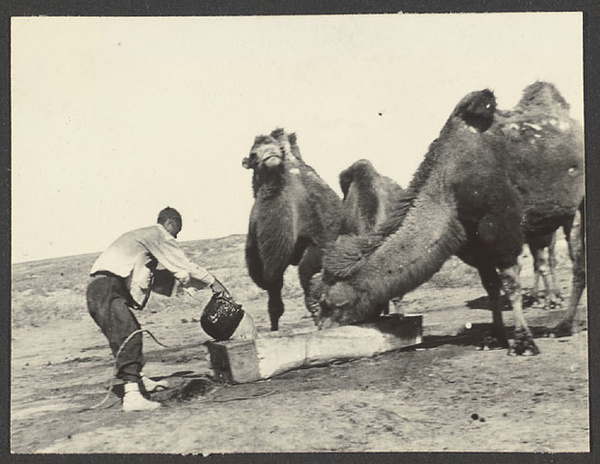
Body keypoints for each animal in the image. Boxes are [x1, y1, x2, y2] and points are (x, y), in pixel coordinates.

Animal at [316, 81, 584, 356]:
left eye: (327, 303)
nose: (322, 330)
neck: (447, 183)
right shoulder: (473, 242)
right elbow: (491, 286)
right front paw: (495, 337)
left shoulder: (500, 226)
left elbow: (511, 283)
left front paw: (524, 343)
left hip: (576, 209)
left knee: (577, 262)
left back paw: (564, 325)